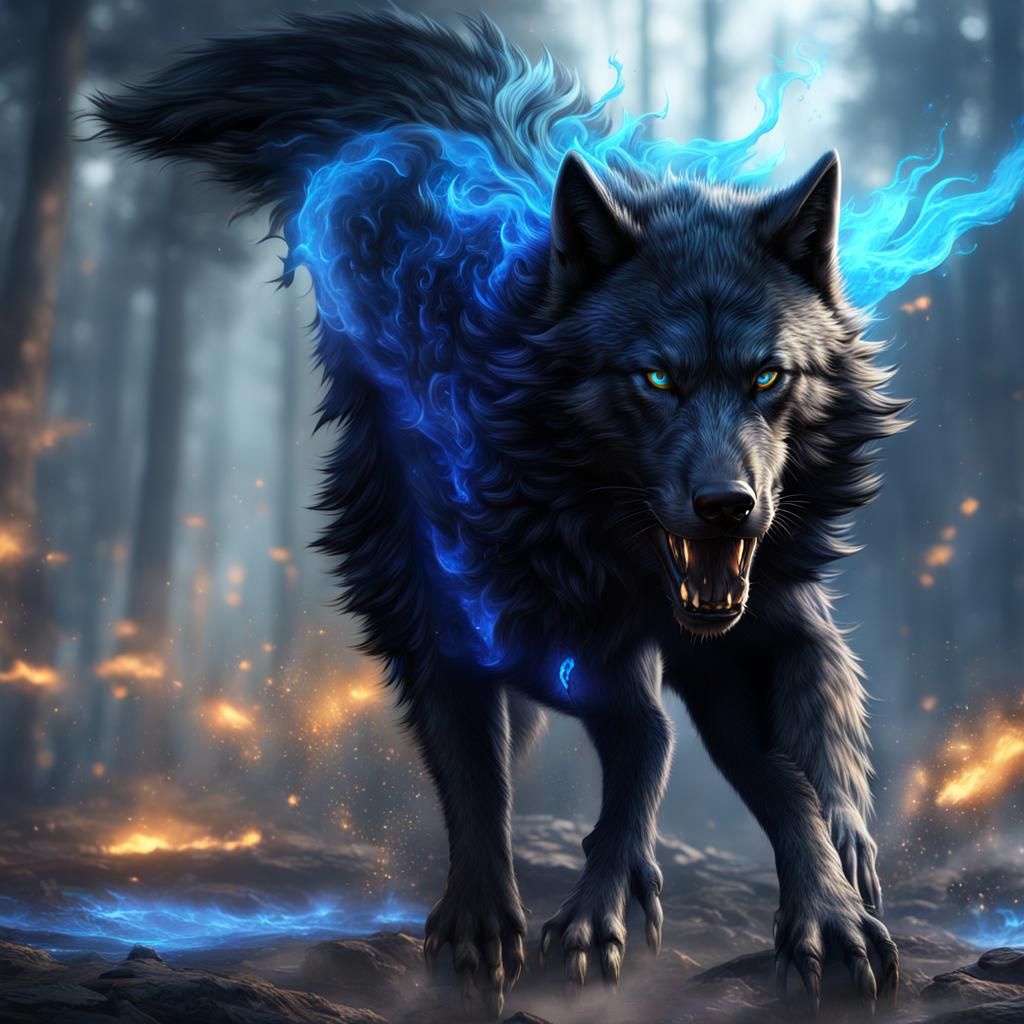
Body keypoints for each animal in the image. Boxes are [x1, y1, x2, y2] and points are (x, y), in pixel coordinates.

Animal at [93, 10, 904, 1016]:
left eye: (766, 378)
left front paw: (830, 912)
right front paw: (483, 922)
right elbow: (481, 778)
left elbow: (797, 776)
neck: (600, 541)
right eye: (656, 378)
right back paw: (603, 904)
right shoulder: (447, 613)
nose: (728, 508)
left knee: (662, 732)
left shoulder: (763, 624)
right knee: (640, 731)